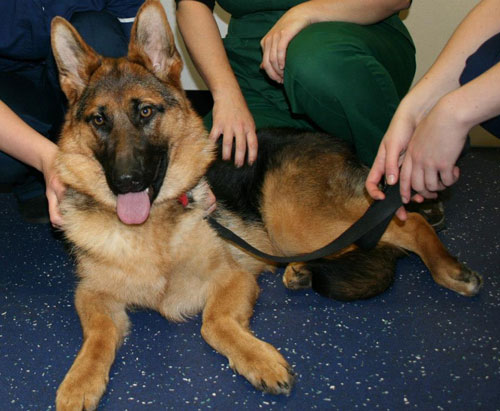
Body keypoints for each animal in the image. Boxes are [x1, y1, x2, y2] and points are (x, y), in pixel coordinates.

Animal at [50, 1, 480, 410]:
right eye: (98, 120)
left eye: (144, 111)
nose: (127, 182)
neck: (152, 230)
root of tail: (335, 143)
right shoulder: (91, 295)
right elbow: (97, 335)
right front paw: (79, 381)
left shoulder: (234, 278)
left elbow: (214, 322)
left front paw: (259, 360)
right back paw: (305, 271)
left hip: (292, 222)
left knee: (406, 225)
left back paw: (446, 267)